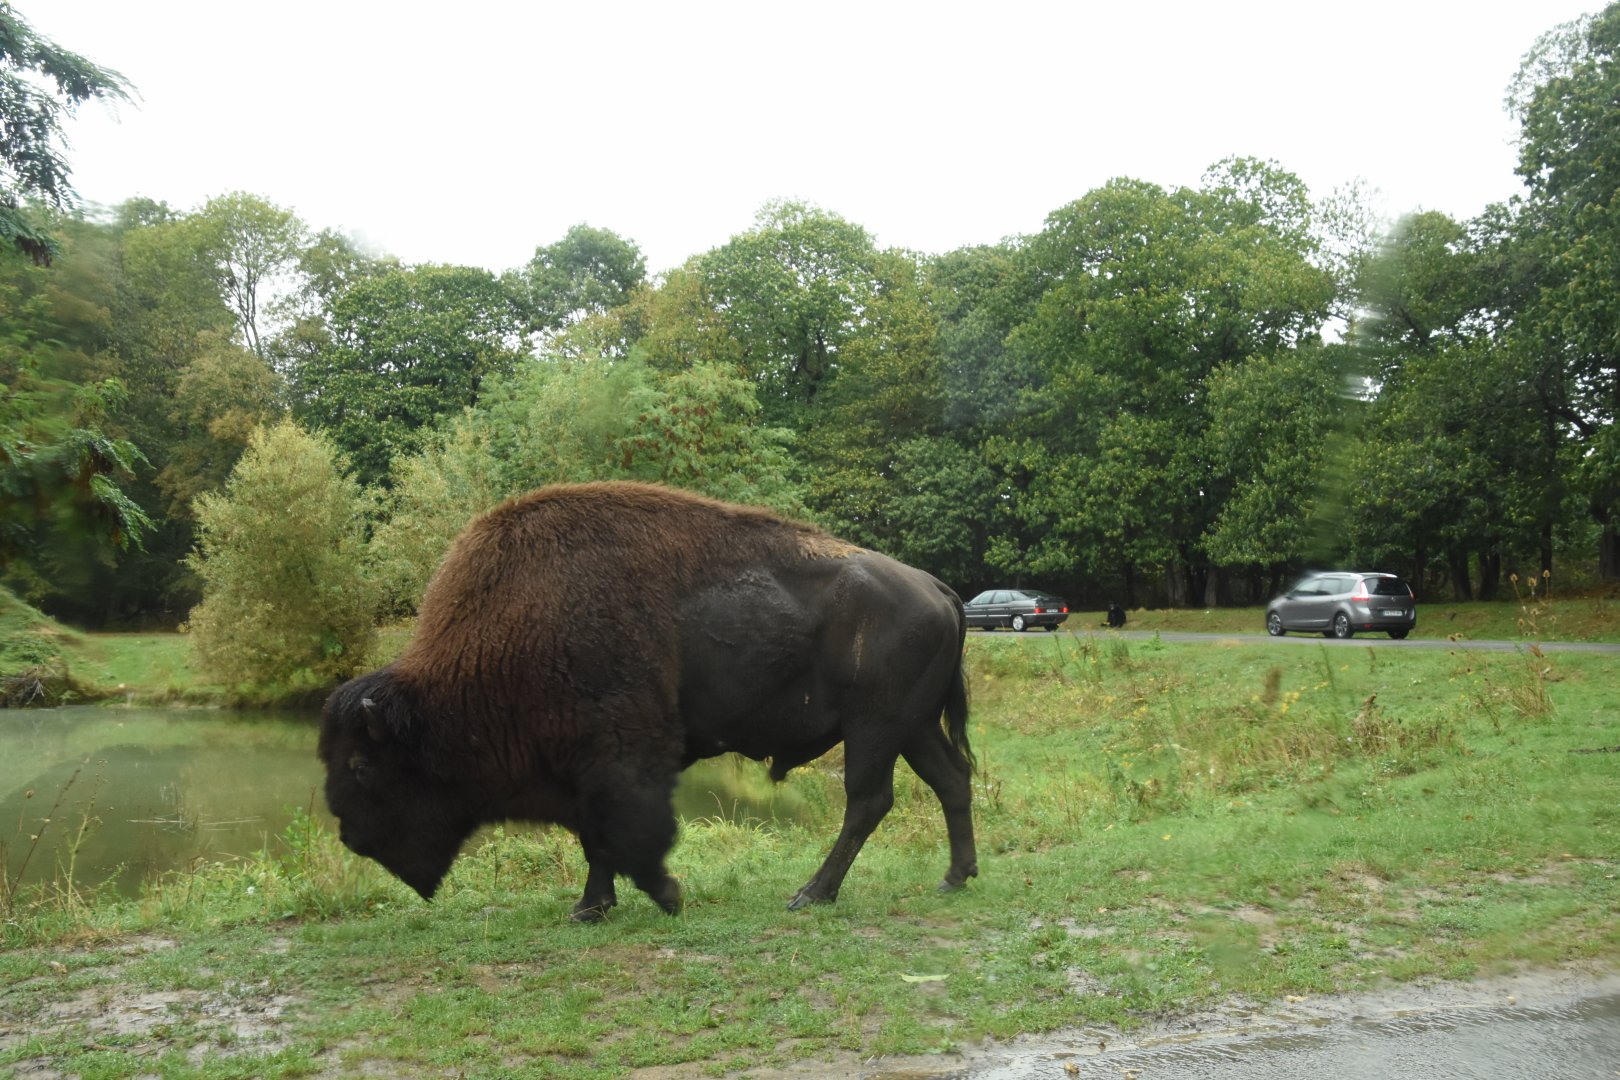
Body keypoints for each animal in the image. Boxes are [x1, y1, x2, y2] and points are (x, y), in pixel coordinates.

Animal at [318, 482, 978, 920]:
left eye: (361, 764)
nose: (349, 836)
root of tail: (936, 587)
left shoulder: (613, 758)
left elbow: (620, 832)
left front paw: (658, 896)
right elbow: (596, 836)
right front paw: (593, 907)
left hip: (875, 729)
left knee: (868, 800)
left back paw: (811, 894)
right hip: (913, 728)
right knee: (950, 781)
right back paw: (954, 877)